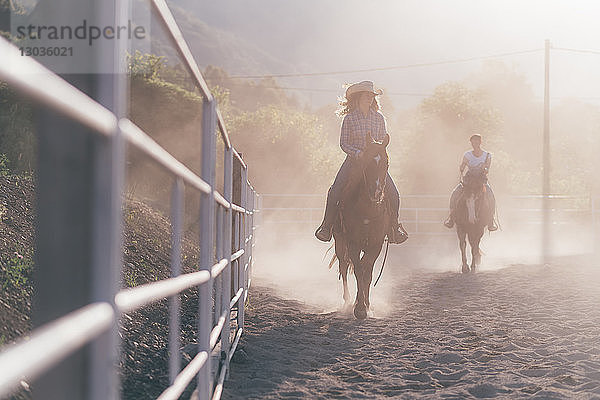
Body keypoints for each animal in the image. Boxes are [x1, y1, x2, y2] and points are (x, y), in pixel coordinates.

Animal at [330, 134, 392, 318]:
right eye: (367, 162)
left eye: (386, 163)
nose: (376, 193)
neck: (367, 210)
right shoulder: (353, 243)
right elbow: (358, 270)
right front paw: (359, 309)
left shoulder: (376, 244)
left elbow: (367, 272)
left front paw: (366, 305)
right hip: (339, 241)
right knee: (343, 266)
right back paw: (347, 301)